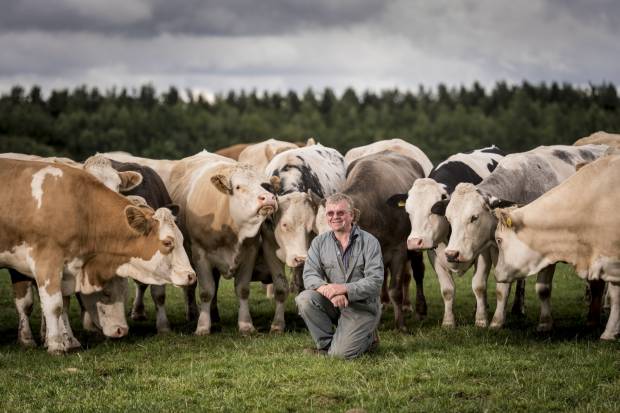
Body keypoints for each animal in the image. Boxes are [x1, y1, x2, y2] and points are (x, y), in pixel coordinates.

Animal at [0, 159, 194, 352]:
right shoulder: (47, 261)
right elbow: (54, 305)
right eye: (167, 242)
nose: (191, 275)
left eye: (182, 239)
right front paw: (57, 344)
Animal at [390, 146, 520, 326]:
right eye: (408, 212)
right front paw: (448, 322)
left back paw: (517, 309)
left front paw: (481, 320)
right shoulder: (435, 253)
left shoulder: (483, 251)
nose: (415, 242)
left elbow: (479, 286)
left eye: (433, 210)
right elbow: (447, 289)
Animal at [444, 143, 608, 330]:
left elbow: (542, 289)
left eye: (474, 217)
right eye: (448, 218)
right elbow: (492, 287)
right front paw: (490, 321)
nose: (451, 254)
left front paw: (545, 322)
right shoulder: (493, 249)